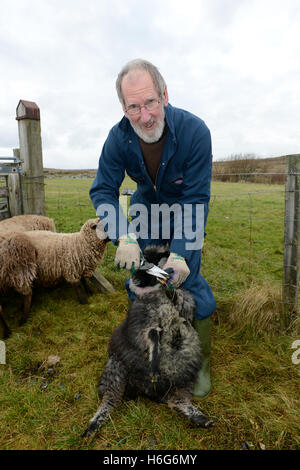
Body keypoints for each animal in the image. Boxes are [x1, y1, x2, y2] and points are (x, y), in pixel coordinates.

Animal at [82, 244, 213, 438]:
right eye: (142, 261)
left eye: (158, 258)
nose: (136, 279)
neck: (156, 293)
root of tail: (147, 391)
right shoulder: (143, 322)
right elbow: (150, 335)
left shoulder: (186, 310)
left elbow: (182, 304)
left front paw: (174, 295)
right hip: (115, 369)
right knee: (110, 399)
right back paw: (93, 425)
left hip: (183, 381)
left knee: (177, 401)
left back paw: (200, 418)